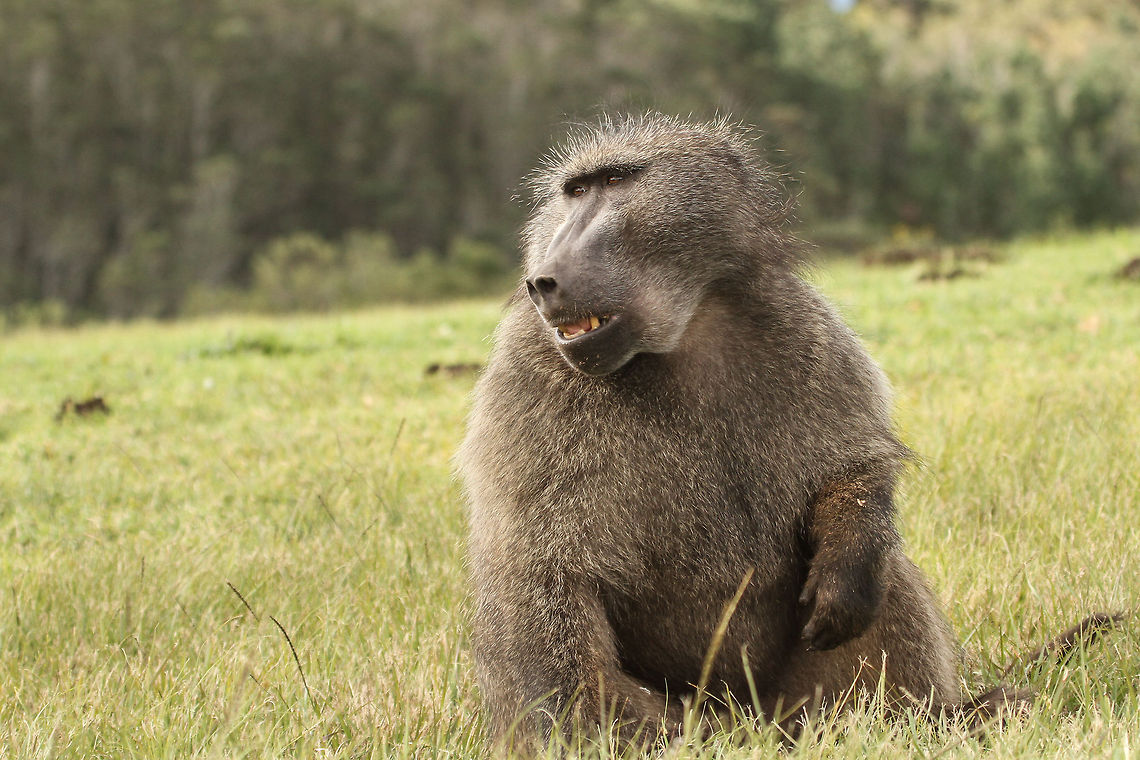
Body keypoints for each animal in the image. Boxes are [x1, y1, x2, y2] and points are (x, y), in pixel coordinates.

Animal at [457, 113, 1119, 754]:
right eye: (574, 192)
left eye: (615, 181)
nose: (543, 279)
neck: (679, 339)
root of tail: (758, 723)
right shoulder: (527, 381)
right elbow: (540, 572)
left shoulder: (803, 328)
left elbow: (851, 468)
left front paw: (848, 565)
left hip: (801, 701)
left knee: (885, 583)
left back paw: (944, 720)